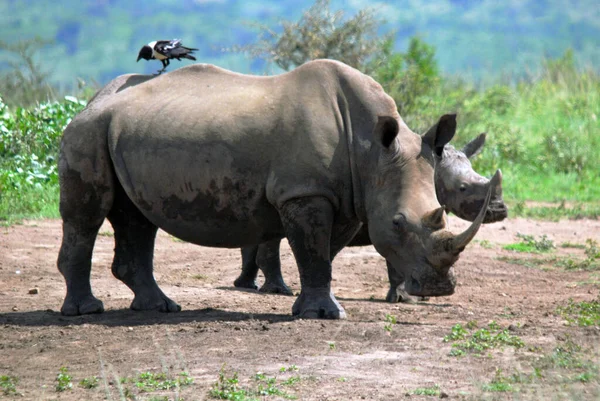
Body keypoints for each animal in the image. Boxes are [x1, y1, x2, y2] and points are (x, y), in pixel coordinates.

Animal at [233, 123, 506, 302]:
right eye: (464, 188)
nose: (501, 210)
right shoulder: (394, 219)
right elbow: (396, 258)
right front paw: (404, 298)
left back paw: (247, 285)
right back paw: (278, 291)